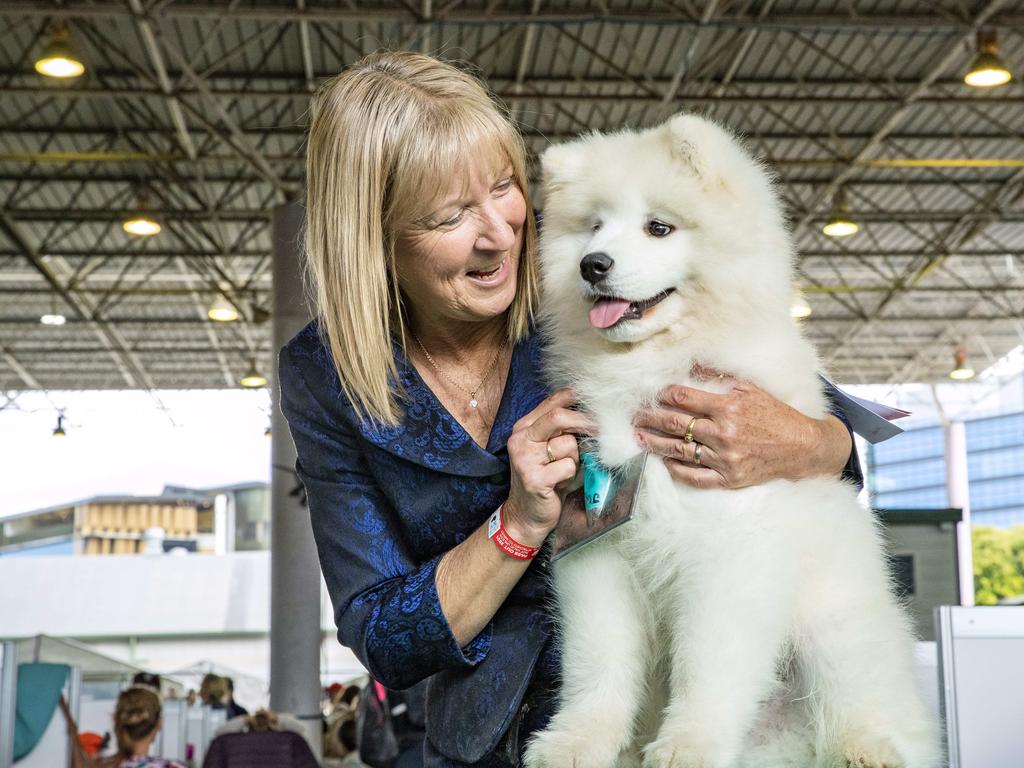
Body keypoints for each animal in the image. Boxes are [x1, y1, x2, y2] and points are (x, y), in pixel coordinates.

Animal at [528, 115, 937, 768]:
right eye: (593, 226)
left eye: (659, 226)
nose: (593, 264)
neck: (652, 370)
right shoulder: (594, 550)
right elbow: (598, 666)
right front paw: (573, 743)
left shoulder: (730, 549)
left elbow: (708, 665)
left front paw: (687, 745)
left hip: (835, 627)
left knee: (865, 702)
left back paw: (868, 748)